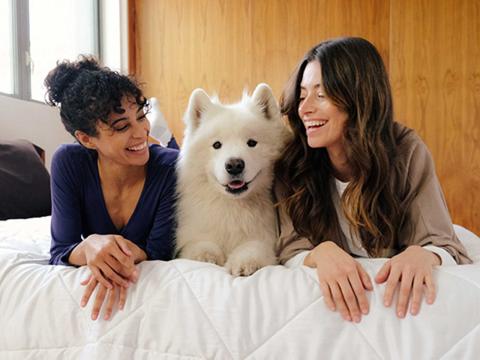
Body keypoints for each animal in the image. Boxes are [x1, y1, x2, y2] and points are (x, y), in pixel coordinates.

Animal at [175, 84, 288, 276]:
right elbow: (199, 245)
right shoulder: (195, 234)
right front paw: (206, 256)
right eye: (216, 145)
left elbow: (253, 248)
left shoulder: (264, 238)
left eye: (252, 143)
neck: (232, 206)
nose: (234, 165)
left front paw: (245, 263)